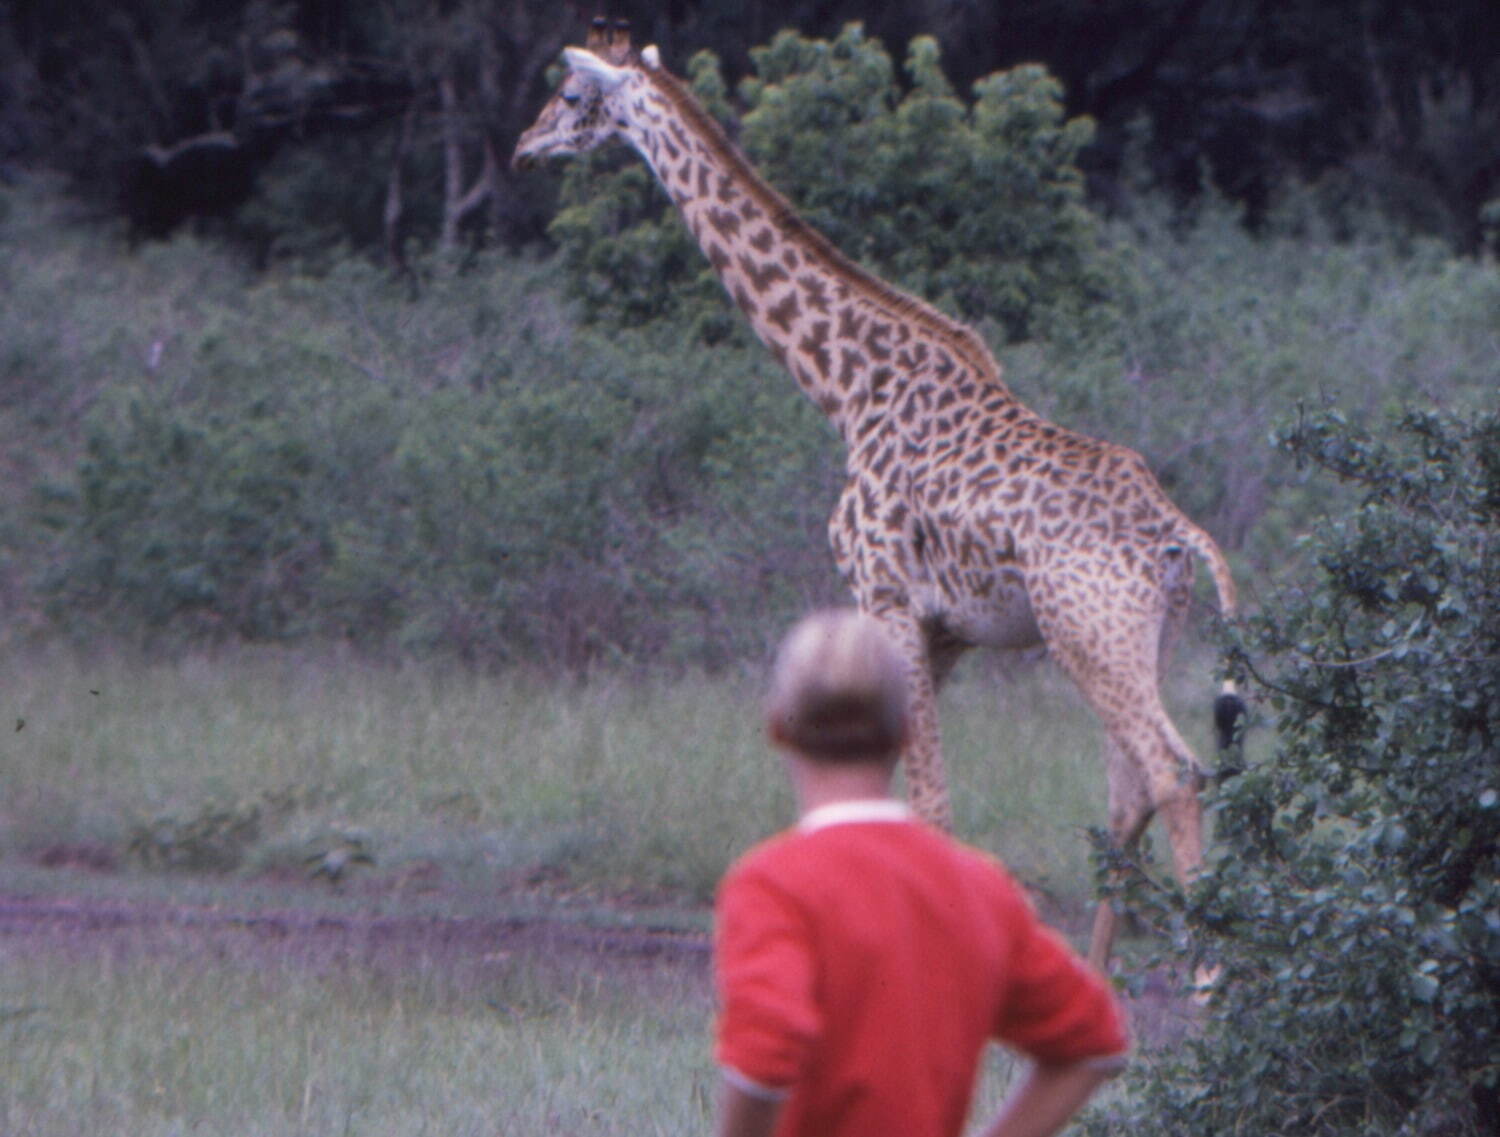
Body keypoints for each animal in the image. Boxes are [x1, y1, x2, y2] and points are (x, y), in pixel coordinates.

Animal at [516, 20, 1242, 972]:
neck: (847, 387)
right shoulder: (942, 631)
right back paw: (1100, 983)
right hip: (1136, 637)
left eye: (569, 94)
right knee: (1130, 791)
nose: (524, 145)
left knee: (1173, 772)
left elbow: (928, 804)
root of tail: (1177, 533)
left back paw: (1211, 984)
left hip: (1090, 632)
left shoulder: (884, 594)